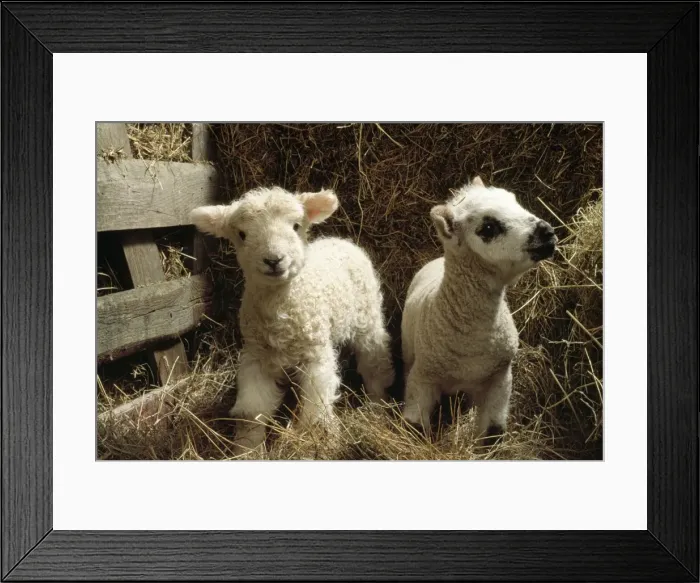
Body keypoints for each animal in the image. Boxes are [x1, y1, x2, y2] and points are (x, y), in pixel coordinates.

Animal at [190, 186, 395, 453]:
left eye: (297, 226)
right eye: (242, 234)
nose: (274, 260)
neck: (281, 312)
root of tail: (340, 240)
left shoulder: (315, 355)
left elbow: (315, 409)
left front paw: (312, 443)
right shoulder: (256, 356)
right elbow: (251, 412)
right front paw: (247, 450)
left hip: (367, 319)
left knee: (374, 364)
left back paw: (377, 407)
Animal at [401, 176, 557, 444]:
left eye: (514, 200)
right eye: (488, 228)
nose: (546, 232)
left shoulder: (500, 378)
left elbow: (493, 434)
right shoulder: (422, 377)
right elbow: (414, 429)